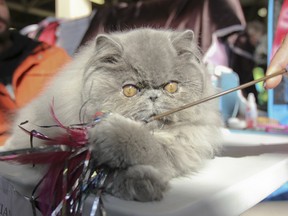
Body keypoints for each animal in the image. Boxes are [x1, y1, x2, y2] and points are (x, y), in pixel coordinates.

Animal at [2, 27, 223, 202]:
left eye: (171, 87)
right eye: (130, 90)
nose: (153, 96)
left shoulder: (184, 147)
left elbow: (149, 148)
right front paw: (137, 184)